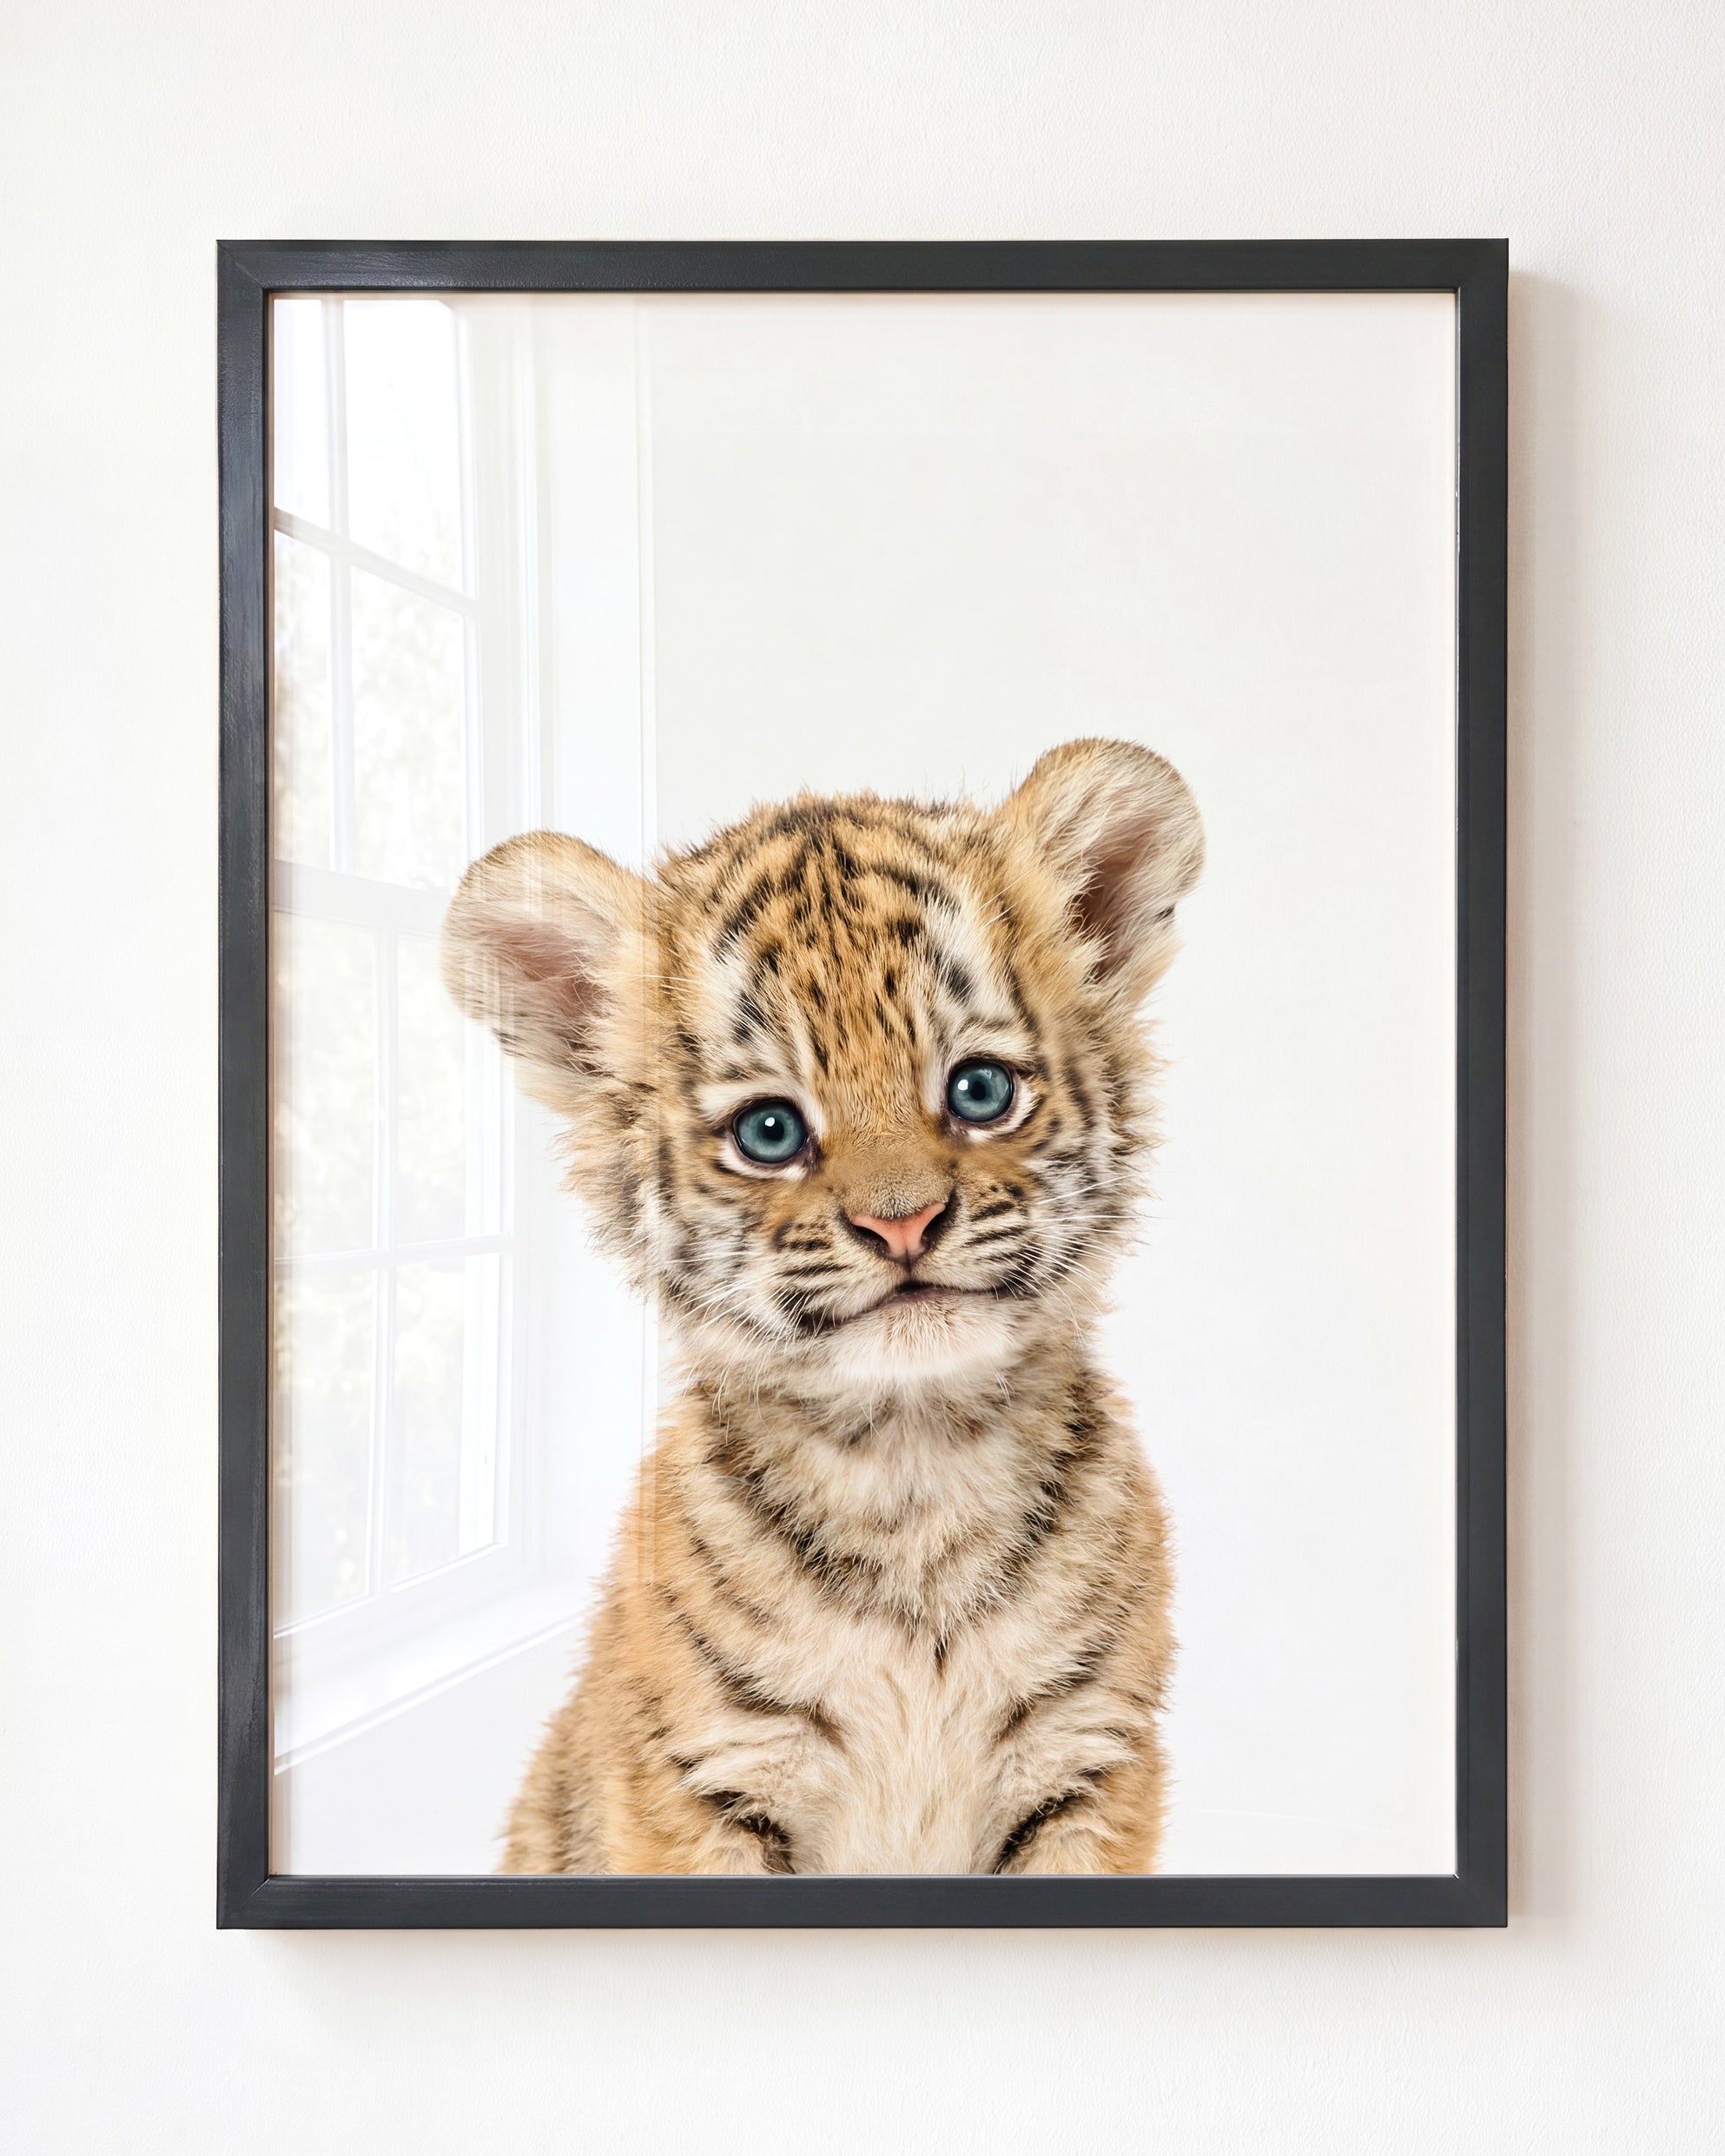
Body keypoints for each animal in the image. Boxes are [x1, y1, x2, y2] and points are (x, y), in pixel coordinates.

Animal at [441, 736, 1204, 1875]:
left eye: (980, 1091)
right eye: (770, 1131)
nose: (904, 1223)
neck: (914, 1467)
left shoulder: (1089, 1759)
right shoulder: (704, 1777)